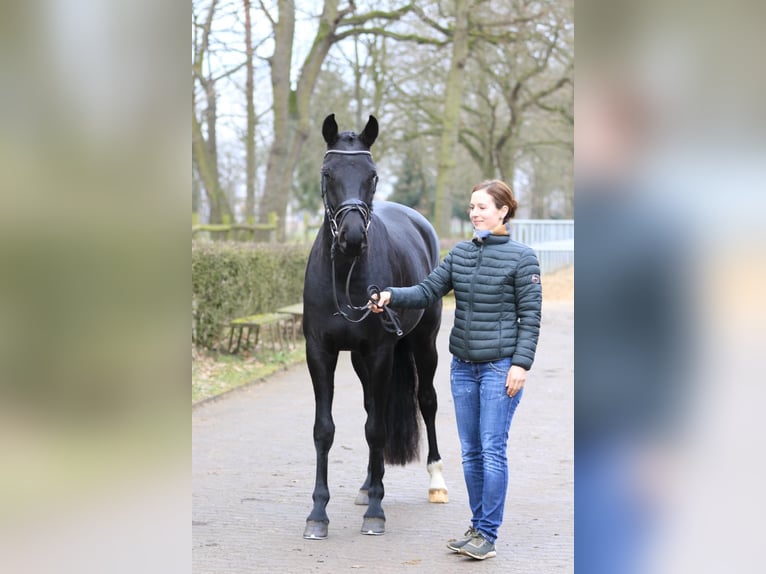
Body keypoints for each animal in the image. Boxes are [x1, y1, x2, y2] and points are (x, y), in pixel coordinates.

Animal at [304, 115, 450, 544]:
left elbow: (376, 430)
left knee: (426, 401)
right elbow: (325, 430)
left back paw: (435, 482)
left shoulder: (382, 352)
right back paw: (369, 483)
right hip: (360, 360)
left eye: (372, 175)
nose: (352, 237)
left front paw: (375, 512)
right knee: (374, 406)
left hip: (423, 344)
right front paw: (318, 514)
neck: (346, 276)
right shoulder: (320, 352)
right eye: (328, 173)